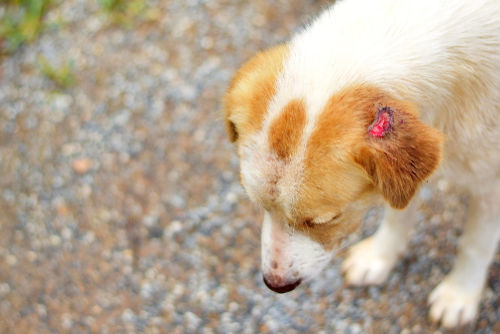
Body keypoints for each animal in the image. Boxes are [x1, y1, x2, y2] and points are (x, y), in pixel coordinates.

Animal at [224, 0, 500, 328]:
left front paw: (459, 295)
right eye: (259, 206)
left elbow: (475, 245)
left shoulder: (491, 187)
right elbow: (399, 215)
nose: (276, 284)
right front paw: (379, 258)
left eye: (324, 220)